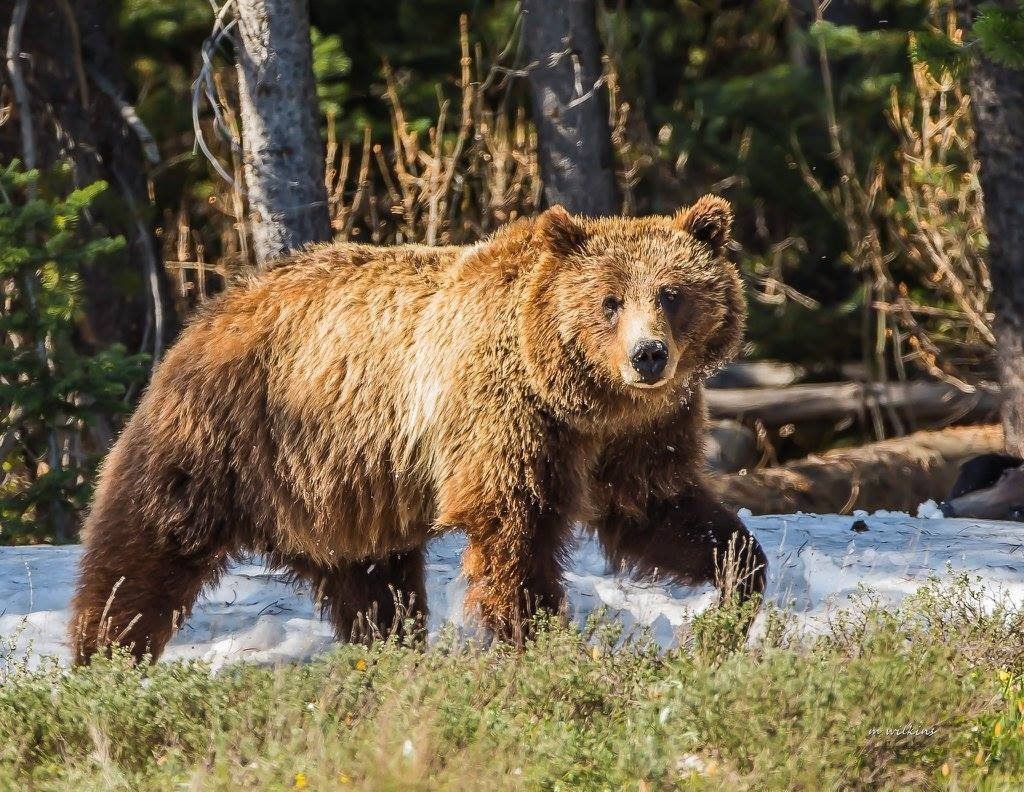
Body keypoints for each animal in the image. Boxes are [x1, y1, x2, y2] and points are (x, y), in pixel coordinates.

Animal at [68, 195, 765, 659]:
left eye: (672, 293)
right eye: (609, 301)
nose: (648, 355)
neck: (583, 397)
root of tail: (210, 309)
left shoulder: (636, 436)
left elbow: (659, 510)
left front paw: (738, 589)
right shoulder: (507, 415)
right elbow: (513, 534)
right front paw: (538, 635)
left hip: (340, 490)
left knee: (374, 585)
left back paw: (392, 655)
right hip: (223, 439)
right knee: (145, 546)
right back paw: (103, 656)